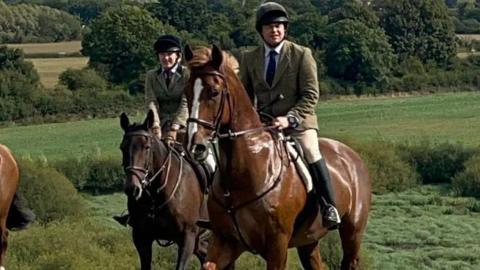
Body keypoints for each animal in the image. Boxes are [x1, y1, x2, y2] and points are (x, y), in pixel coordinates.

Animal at [119, 112, 207, 270]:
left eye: (147, 147)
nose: (132, 189)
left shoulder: (187, 238)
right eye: (122, 148)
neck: (156, 194)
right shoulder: (141, 237)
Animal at [182, 45, 374, 268]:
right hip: (308, 240)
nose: (195, 146)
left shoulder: (277, 244)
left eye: (214, 92)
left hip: (352, 233)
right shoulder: (225, 241)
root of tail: (352, 155)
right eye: (187, 92)